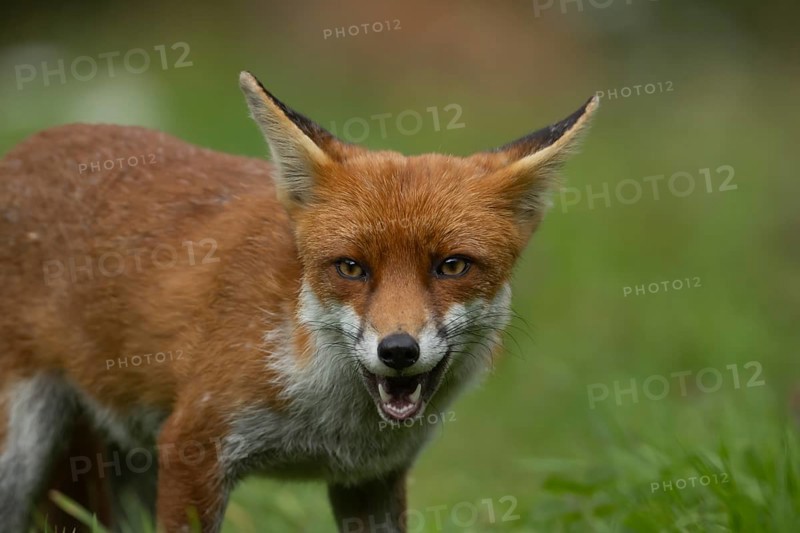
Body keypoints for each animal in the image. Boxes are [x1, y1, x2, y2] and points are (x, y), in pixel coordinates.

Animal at [0, 70, 597, 532]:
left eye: (451, 266)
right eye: (351, 268)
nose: (397, 351)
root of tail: (27, 147)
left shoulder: (371, 481)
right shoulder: (194, 446)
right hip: (22, 452)